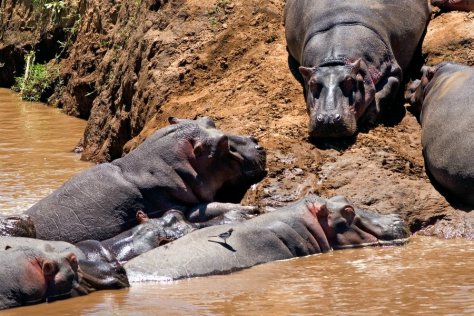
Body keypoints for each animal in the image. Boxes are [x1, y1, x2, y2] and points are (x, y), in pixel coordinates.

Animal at [24, 117, 266, 243]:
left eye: (209, 120)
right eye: (224, 144)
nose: (257, 143)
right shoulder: (179, 206)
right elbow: (210, 208)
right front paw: (250, 209)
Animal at [284, 0, 432, 138]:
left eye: (350, 81)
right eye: (312, 83)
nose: (328, 119)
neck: (335, 61)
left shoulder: (392, 71)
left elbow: (384, 92)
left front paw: (368, 120)